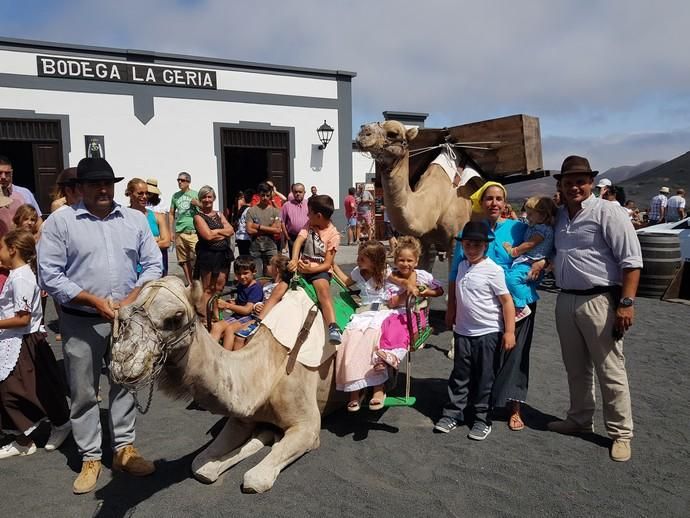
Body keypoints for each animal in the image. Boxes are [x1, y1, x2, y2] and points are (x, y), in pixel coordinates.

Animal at [107, 280, 338, 496]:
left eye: (176, 317)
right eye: (124, 315)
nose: (122, 361)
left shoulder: (307, 427)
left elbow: (255, 479)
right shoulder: (241, 418)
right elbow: (201, 466)